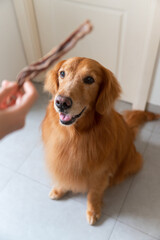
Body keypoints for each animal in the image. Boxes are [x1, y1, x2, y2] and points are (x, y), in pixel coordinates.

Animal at [41, 56, 160, 225]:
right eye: (62, 73)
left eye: (89, 79)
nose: (61, 102)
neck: (76, 135)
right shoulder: (64, 161)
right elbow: (65, 176)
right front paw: (60, 189)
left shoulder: (100, 172)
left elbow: (94, 193)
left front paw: (93, 211)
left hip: (133, 161)